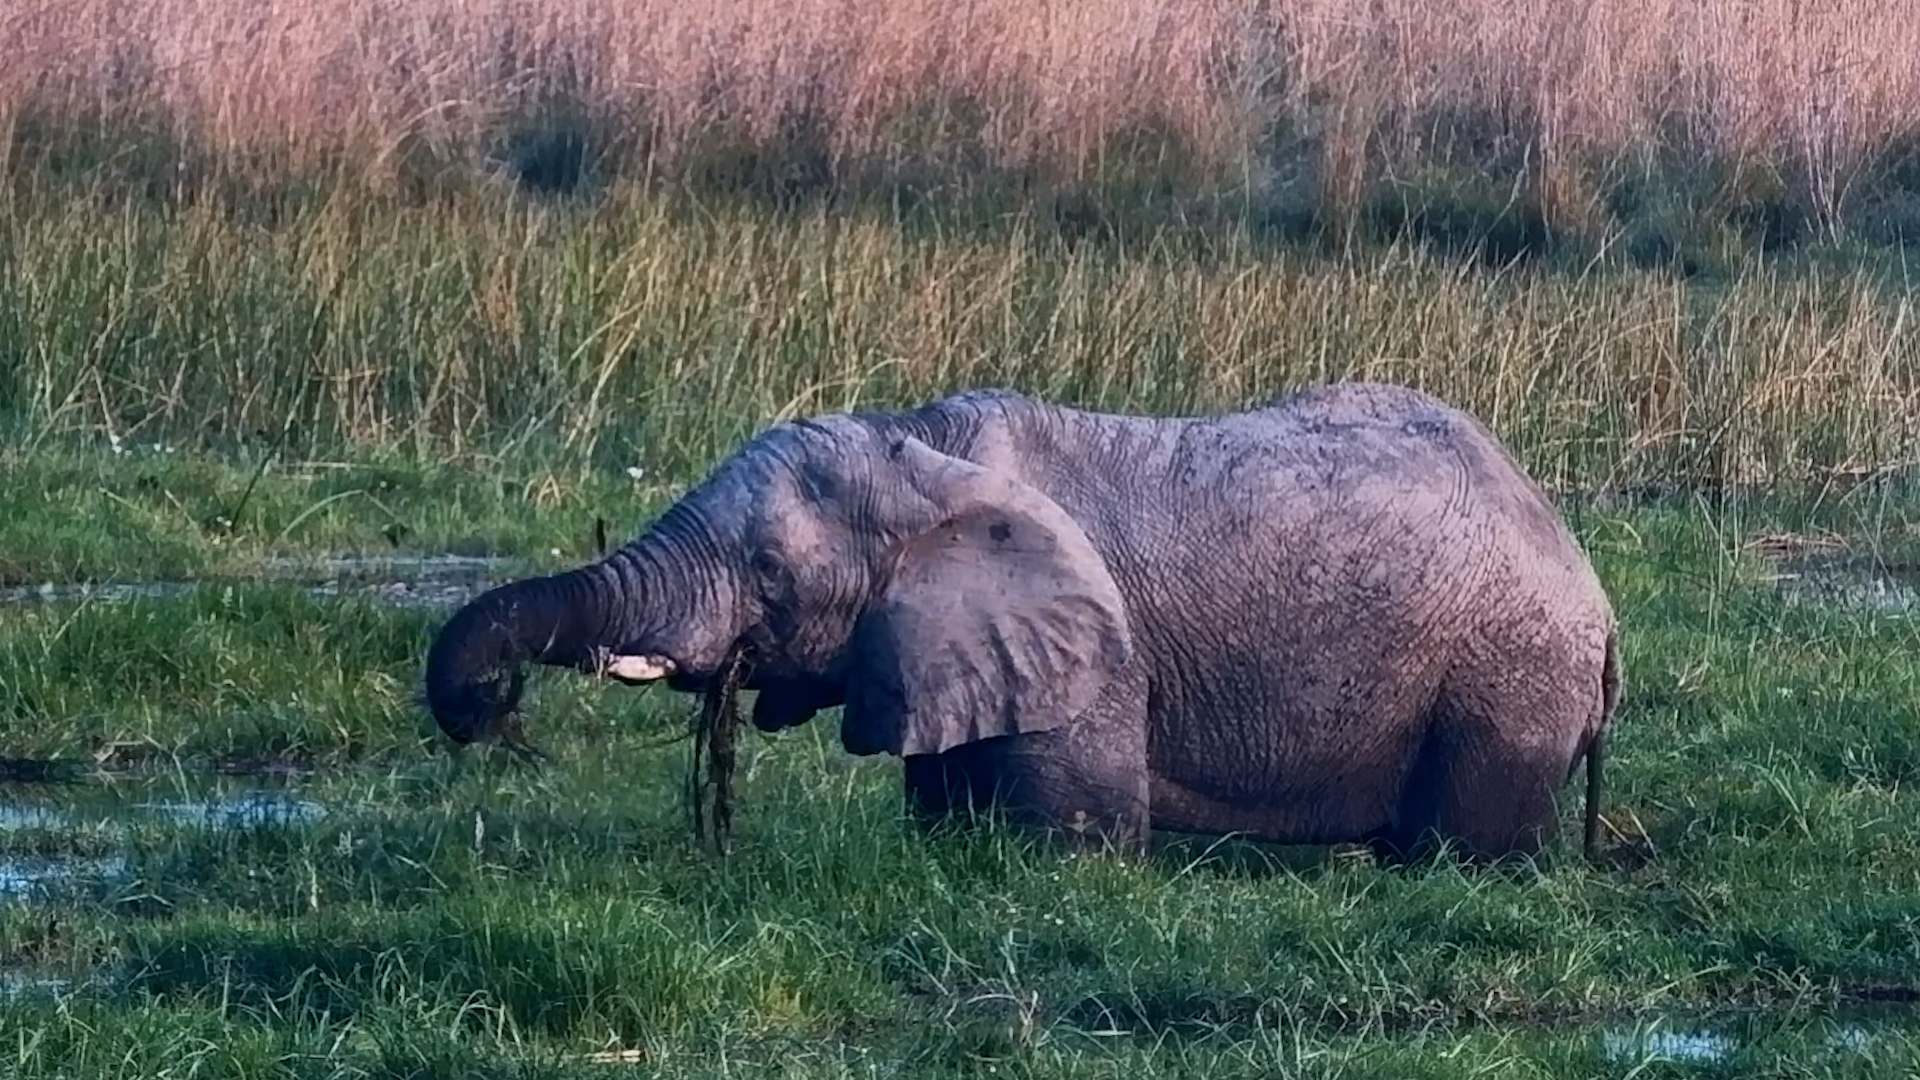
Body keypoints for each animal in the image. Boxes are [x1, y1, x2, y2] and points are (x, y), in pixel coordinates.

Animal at [424, 381, 1620, 862]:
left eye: (767, 571)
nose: (486, 713)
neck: (920, 446)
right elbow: (944, 805)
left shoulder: (1095, 658)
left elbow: (1072, 841)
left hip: (1510, 670)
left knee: (1467, 843)